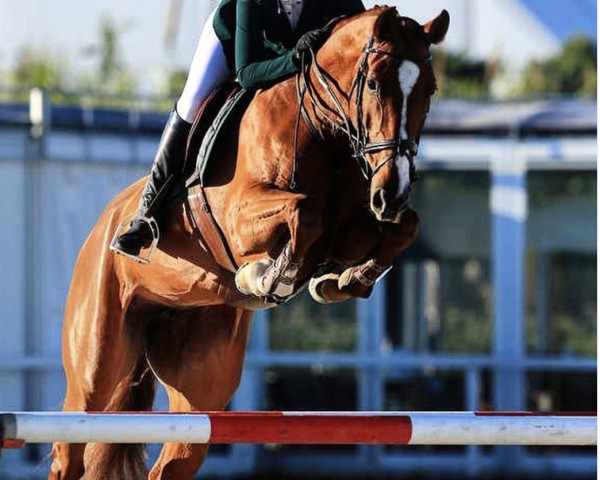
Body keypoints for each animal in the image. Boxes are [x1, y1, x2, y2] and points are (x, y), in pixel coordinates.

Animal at [50, 5, 446, 478]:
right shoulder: (239, 219)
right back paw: (140, 233)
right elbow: (304, 214)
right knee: (70, 447)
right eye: (372, 83)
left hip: (200, 384)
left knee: (172, 461)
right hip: (96, 362)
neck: (321, 133)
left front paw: (343, 281)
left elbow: (405, 228)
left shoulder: (349, 232)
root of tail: (102, 226)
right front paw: (266, 278)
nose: (393, 193)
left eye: (430, 89)